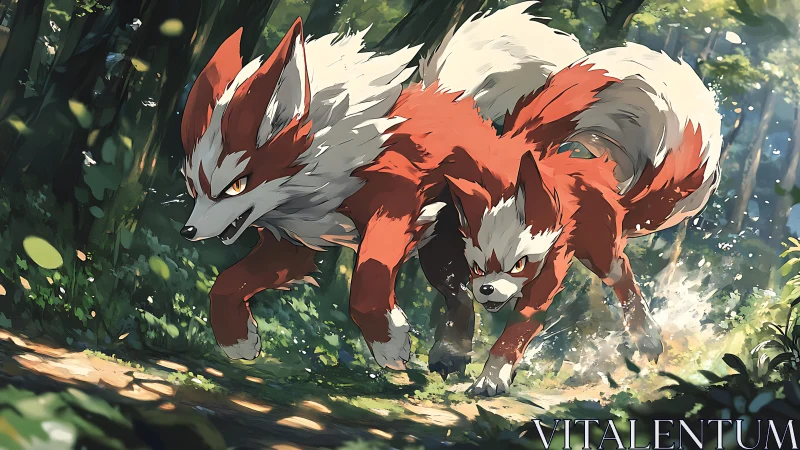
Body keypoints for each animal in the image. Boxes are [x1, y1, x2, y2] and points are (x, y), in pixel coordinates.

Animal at [179, 5, 585, 373]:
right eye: (193, 187)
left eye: (236, 185)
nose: (187, 231)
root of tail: (452, 96)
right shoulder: (293, 243)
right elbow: (225, 284)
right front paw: (236, 339)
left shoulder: (395, 207)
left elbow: (366, 283)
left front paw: (389, 343)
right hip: (444, 252)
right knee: (460, 295)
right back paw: (451, 354)